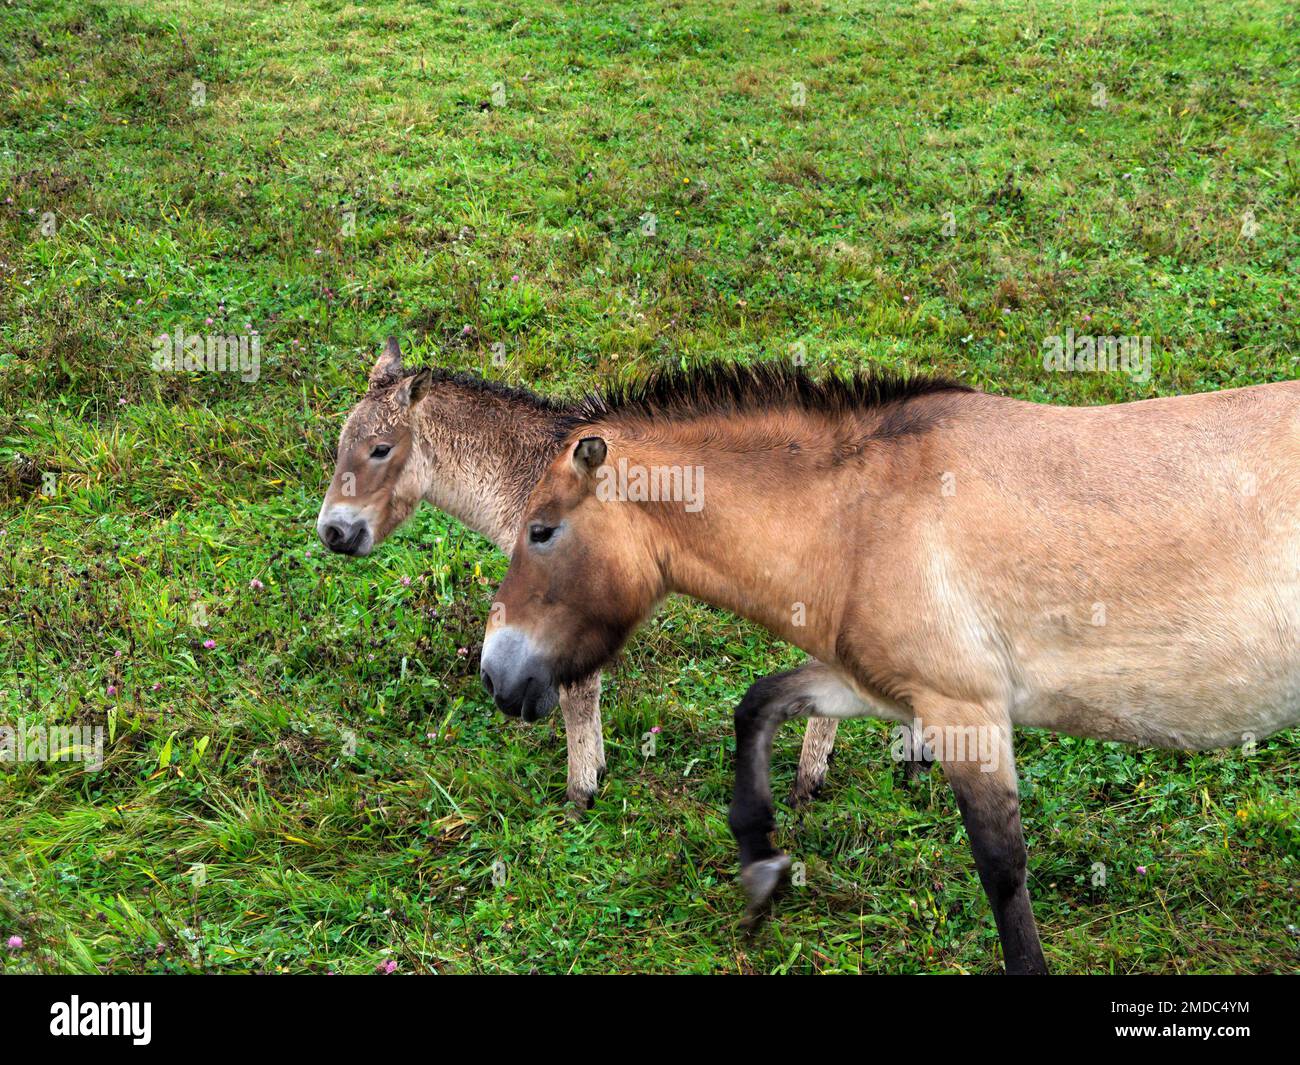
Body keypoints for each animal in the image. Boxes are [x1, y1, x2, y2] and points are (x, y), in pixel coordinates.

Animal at [314, 340, 842, 806]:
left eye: (381, 450)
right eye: (340, 446)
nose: (332, 532)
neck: (521, 473)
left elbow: (576, 694)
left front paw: (581, 792)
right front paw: (597, 773)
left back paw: (806, 782)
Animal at [480, 364, 1300, 972]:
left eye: (541, 531)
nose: (496, 675)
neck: (862, 517)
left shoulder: (965, 711)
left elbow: (1003, 870)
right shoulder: (877, 689)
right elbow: (759, 706)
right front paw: (761, 866)